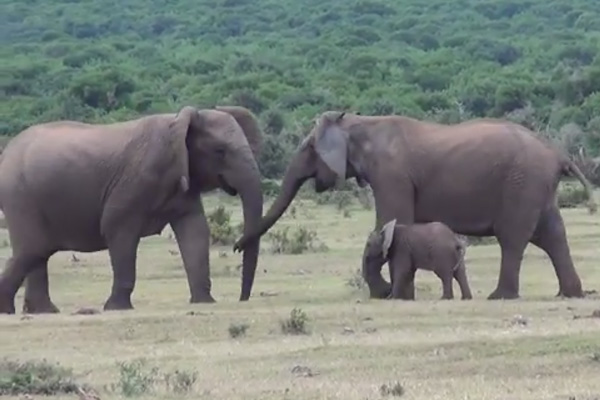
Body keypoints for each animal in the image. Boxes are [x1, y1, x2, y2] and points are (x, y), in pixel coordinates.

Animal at [0, 104, 264, 314]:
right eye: (221, 151)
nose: (242, 299)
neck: (179, 122)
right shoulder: (136, 180)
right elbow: (117, 229)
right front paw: (117, 308)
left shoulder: (184, 183)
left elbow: (195, 230)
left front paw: (204, 302)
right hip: (20, 195)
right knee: (34, 248)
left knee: (36, 252)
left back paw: (43, 311)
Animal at [234, 111, 596, 298]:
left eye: (309, 148)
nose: (237, 246)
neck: (360, 121)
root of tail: (559, 155)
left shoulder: (391, 174)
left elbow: (389, 220)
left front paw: (386, 293)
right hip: (536, 186)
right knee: (552, 236)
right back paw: (570, 294)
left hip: (522, 182)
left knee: (514, 238)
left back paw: (500, 297)